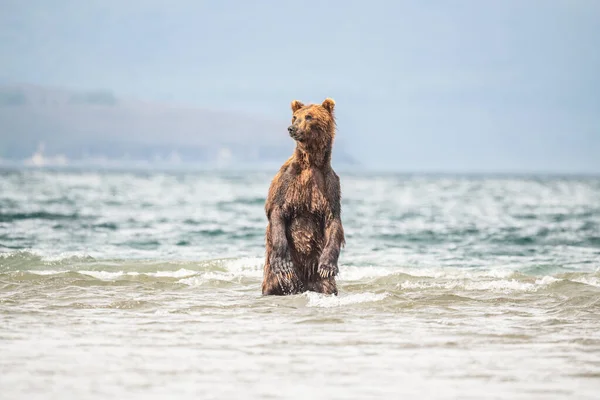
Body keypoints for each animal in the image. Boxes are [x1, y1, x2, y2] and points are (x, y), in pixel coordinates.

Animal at [262, 98, 346, 296]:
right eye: (295, 117)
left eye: (309, 116)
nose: (291, 128)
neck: (312, 163)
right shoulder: (287, 181)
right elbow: (276, 210)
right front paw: (283, 263)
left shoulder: (329, 185)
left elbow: (333, 220)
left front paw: (328, 266)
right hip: (274, 277)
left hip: (316, 275)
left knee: (327, 285)